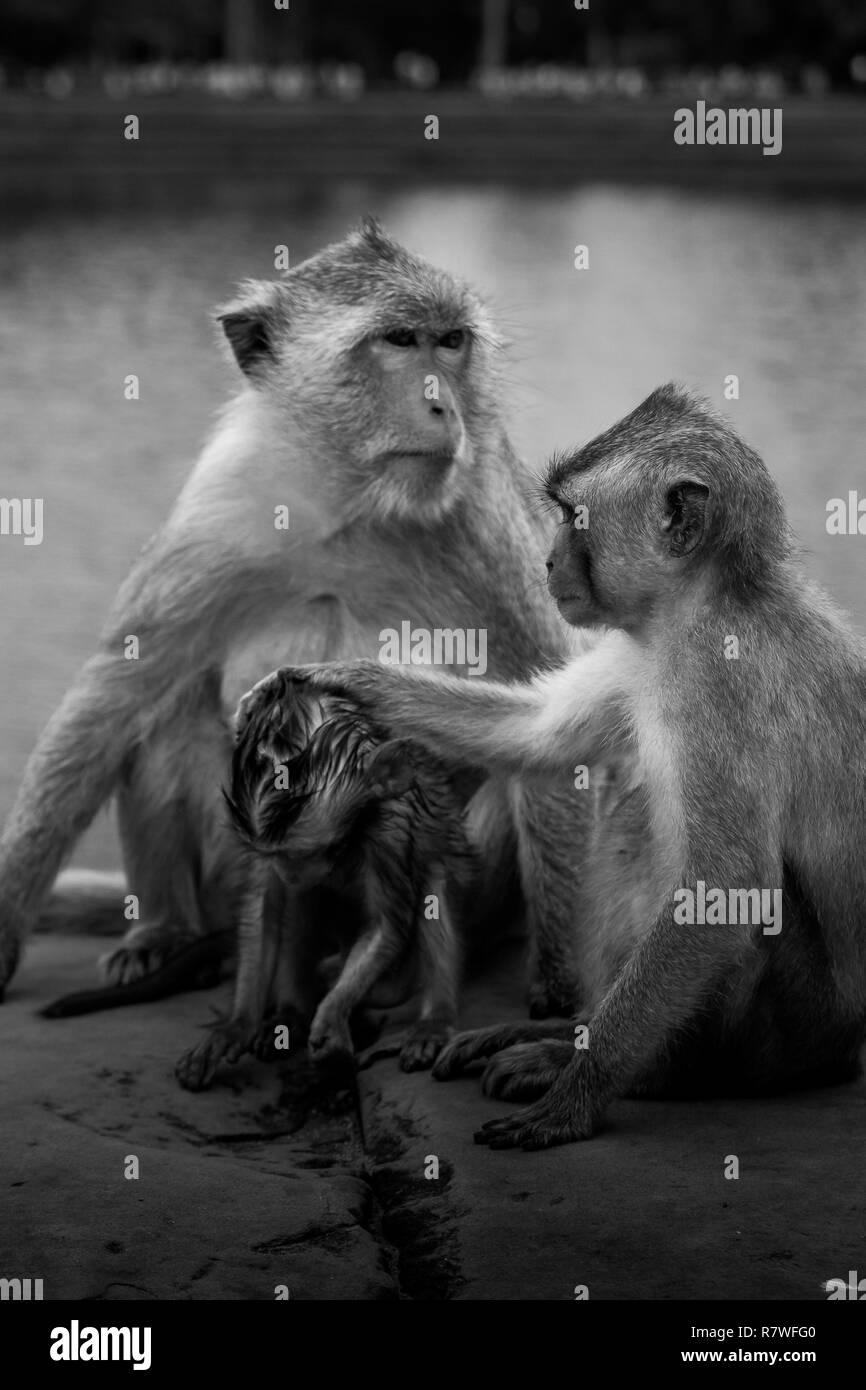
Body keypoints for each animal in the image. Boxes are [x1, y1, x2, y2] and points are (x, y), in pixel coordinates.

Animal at [0, 218, 589, 1028]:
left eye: (451, 341)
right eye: (399, 340)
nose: (444, 405)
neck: (355, 504)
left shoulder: (493, 530)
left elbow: (543, 720)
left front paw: (559, 988)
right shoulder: (223, 506)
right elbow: (114, 693)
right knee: (167, 707)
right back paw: (168, 935)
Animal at [174, 676, 473, 1090]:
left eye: (309, 852)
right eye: (277, 855)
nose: (289, 871)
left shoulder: (391, 830)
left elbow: (385, 927)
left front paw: (331, 1016)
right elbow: (264, 910)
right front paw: (237, 1025)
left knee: (434, 877)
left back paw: (434, 1020)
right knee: (301, 902)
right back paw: (290, 1016)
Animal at [261, 384, 866, 1149]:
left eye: (574, 517)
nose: (547, 562)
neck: (701, 605)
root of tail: (845, 1053)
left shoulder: (724, 680)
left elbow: (727, 888)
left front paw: (577, 1093)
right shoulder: (635, 647)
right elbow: (539, 734)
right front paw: (347, 679)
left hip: (791, 1032)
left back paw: (644, 1072)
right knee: (628, 807)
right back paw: (559, 1033)